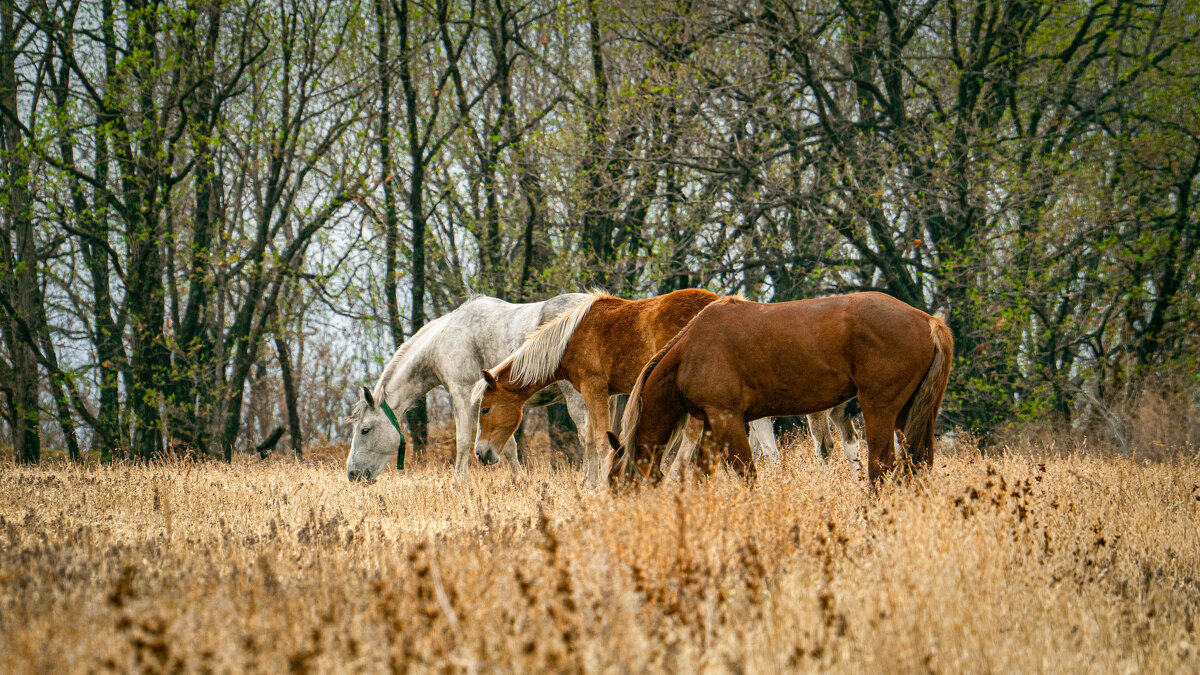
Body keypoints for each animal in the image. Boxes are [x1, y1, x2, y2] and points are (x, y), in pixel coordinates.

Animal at [345, 293, 592, 478]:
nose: (352, 474)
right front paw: (521, 482)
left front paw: (458, 485)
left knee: (588, 437)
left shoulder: (462, 394)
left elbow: (462, 441)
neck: (442, 339)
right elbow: (508, 446)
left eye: (365, 430)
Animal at [609, 291, 955, 485]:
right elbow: (701, 476)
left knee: (880, 468)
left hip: (879, 410)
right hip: (908, 414)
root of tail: (930, 322)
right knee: (914, 466)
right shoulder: (710, 424)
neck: (691, 349)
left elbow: (745, 473)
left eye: (614, 481)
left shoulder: (727, 419)